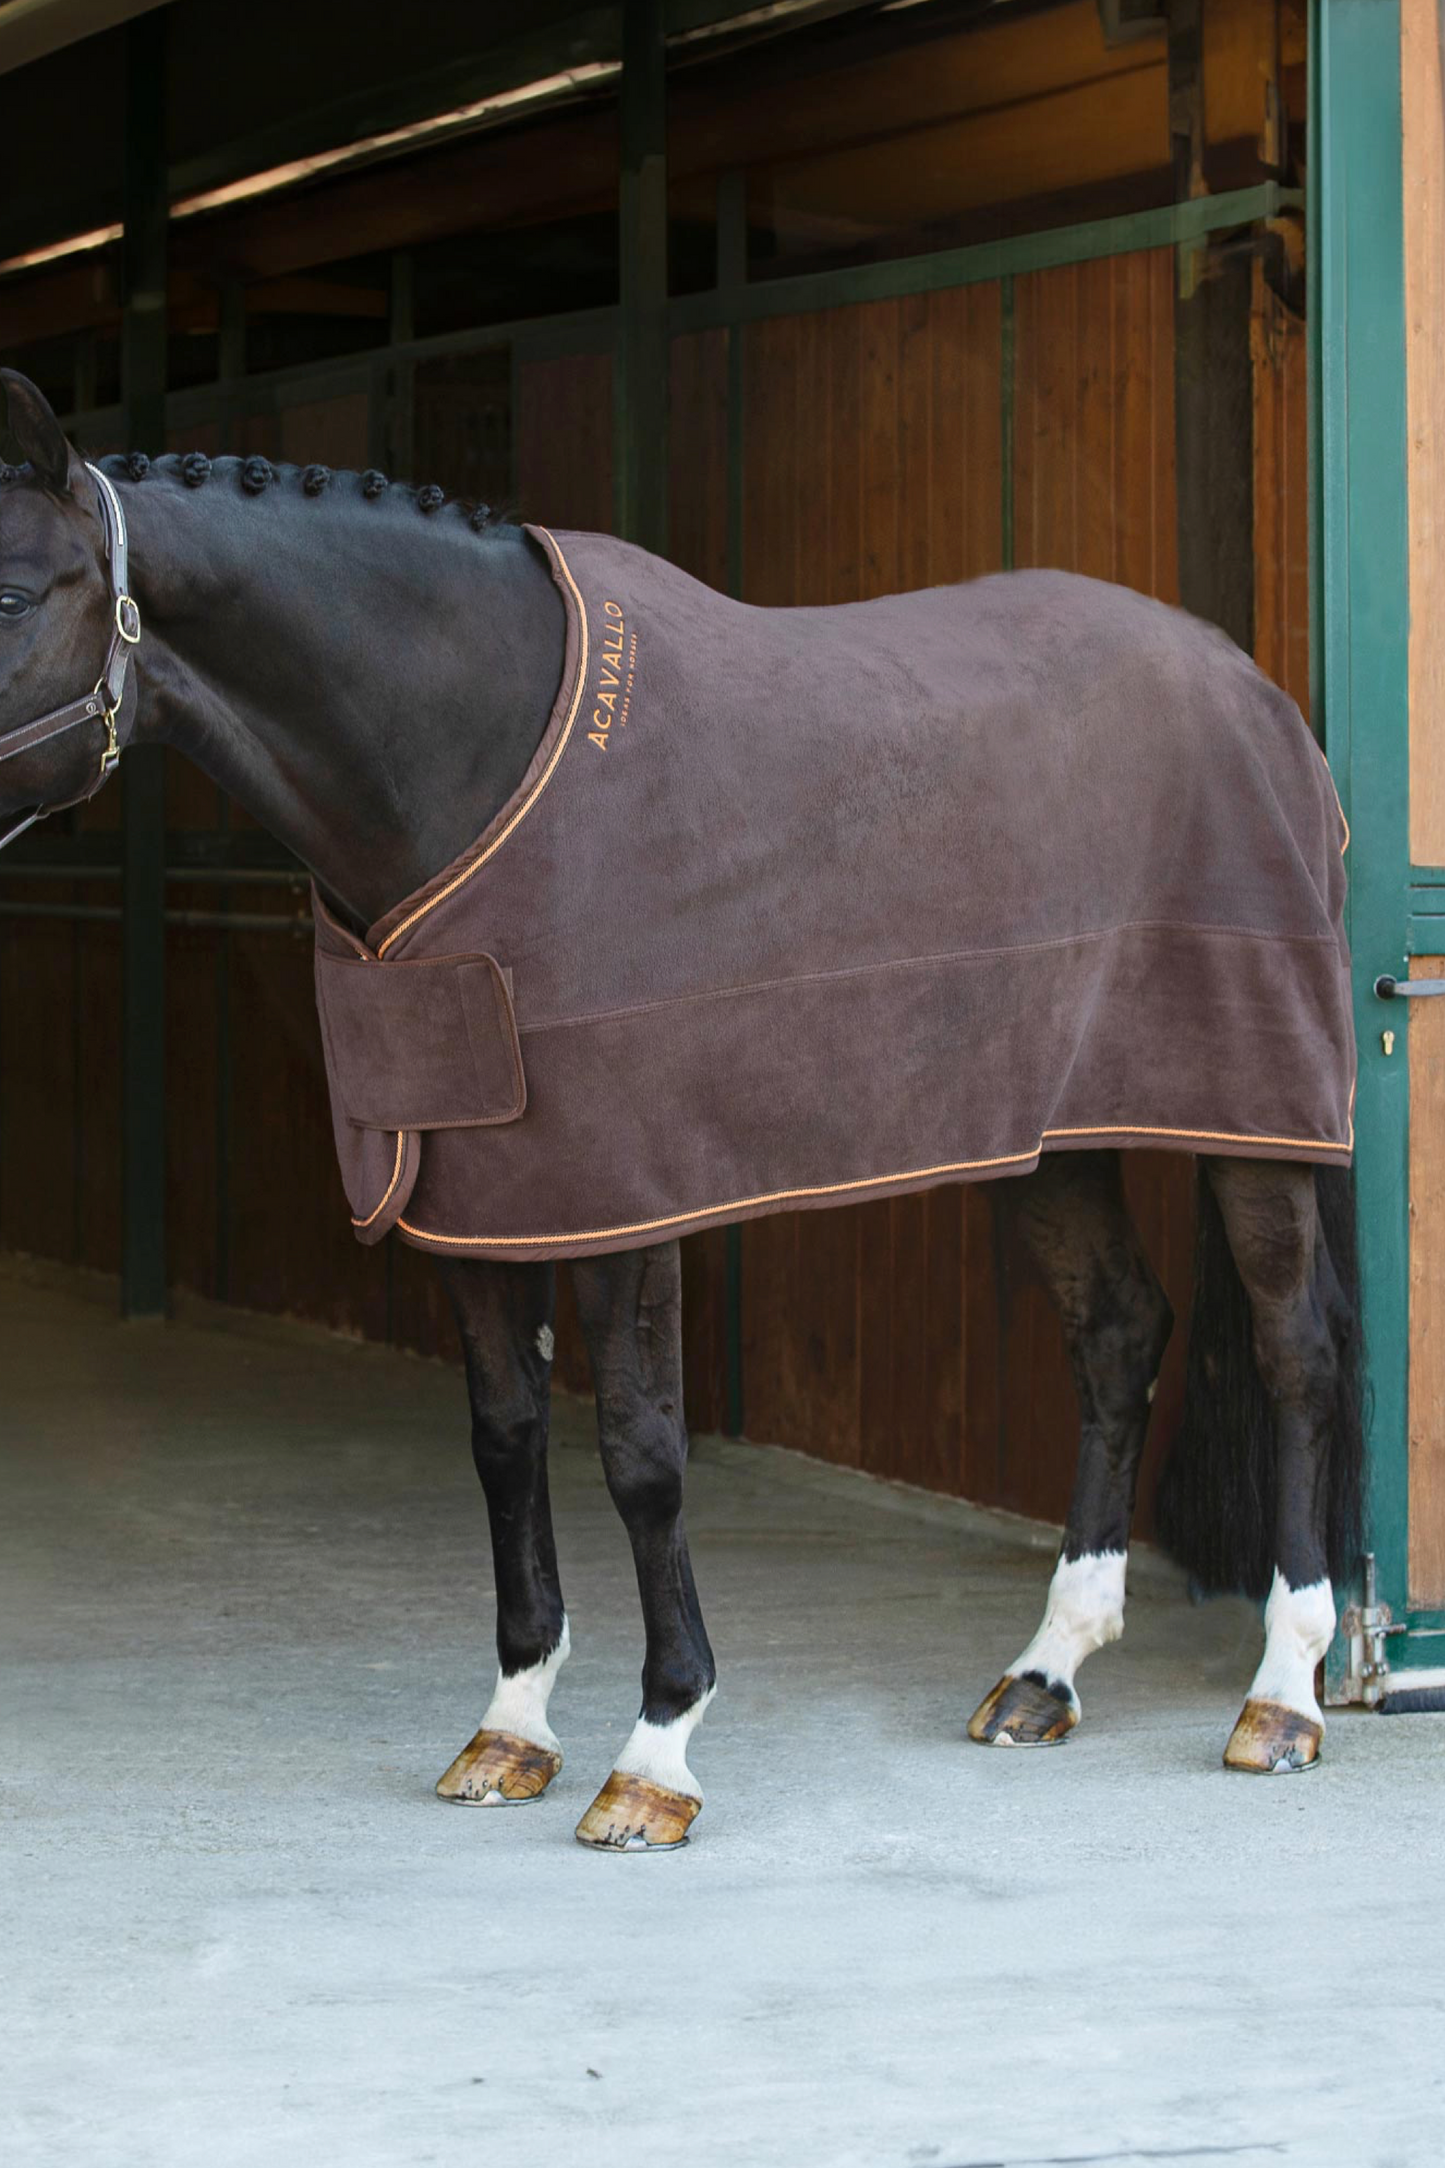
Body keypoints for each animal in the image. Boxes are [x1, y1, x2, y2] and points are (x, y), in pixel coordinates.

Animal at [0, 372, 1360, 1847]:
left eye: (11, 592)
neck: (468, 759)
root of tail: (1246, 686)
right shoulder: (480, 1199)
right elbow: (503, 1442)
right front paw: (511, 1725)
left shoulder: (623, 1196)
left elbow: (642, 1454)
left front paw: (655, 1751)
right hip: (1050, 1134)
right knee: (1115, 1330)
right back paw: (1044, 1670)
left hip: (1251, 1120)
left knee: (1293, 1351)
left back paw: (1282, 1693)